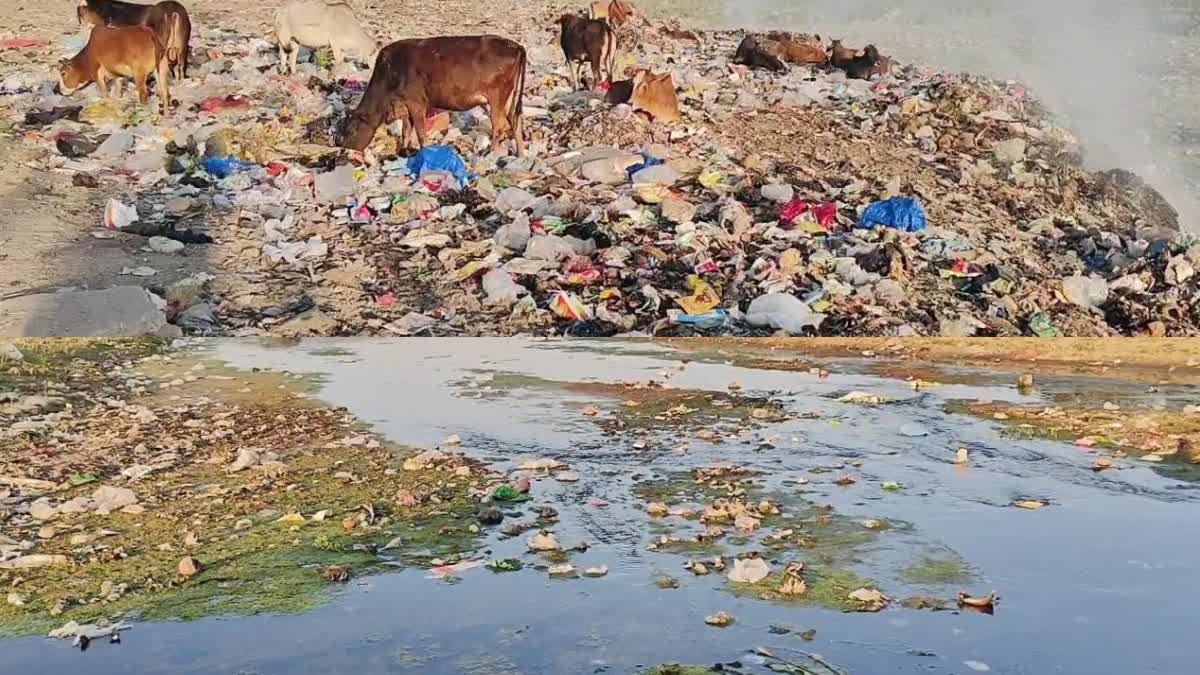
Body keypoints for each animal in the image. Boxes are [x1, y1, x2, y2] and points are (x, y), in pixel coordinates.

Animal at [338, 37, 525, 157]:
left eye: (350, 130)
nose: (342, 149)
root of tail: (514, 45)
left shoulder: (416, 103)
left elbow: (420, 133)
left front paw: (424, 154)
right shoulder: (405, 106)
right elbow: (406, 131)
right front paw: (405, 151)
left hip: (497, 97)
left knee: (500, 127)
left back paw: (490, 154)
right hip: (508, 98)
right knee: (515, 123)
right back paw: (520, 155)